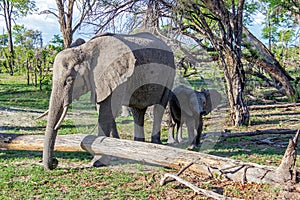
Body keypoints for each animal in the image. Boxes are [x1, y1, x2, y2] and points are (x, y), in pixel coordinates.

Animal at [44, 32, 176, 170]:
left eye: (69, 80)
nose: (55, 161)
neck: (86, 50)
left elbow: (107, 110)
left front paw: (98, 162)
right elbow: (104, 109)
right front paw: (114, 149)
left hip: (170, 73)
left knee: (159, 107)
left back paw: (155, 144)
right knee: (137, 110)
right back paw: (139, 144)